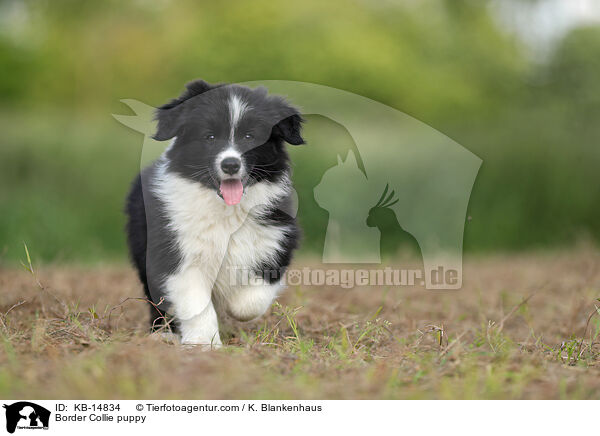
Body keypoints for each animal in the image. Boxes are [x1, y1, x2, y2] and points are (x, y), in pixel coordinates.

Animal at [125, 79, 304, 348]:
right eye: (209, 137)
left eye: (250, 136)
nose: (230, 164)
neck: (228, 211)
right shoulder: (179, 253)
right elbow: (197, 303)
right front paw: (203, 343)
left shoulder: (276, 239)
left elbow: (251, 300)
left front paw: (231, 307)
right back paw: (163, 332)